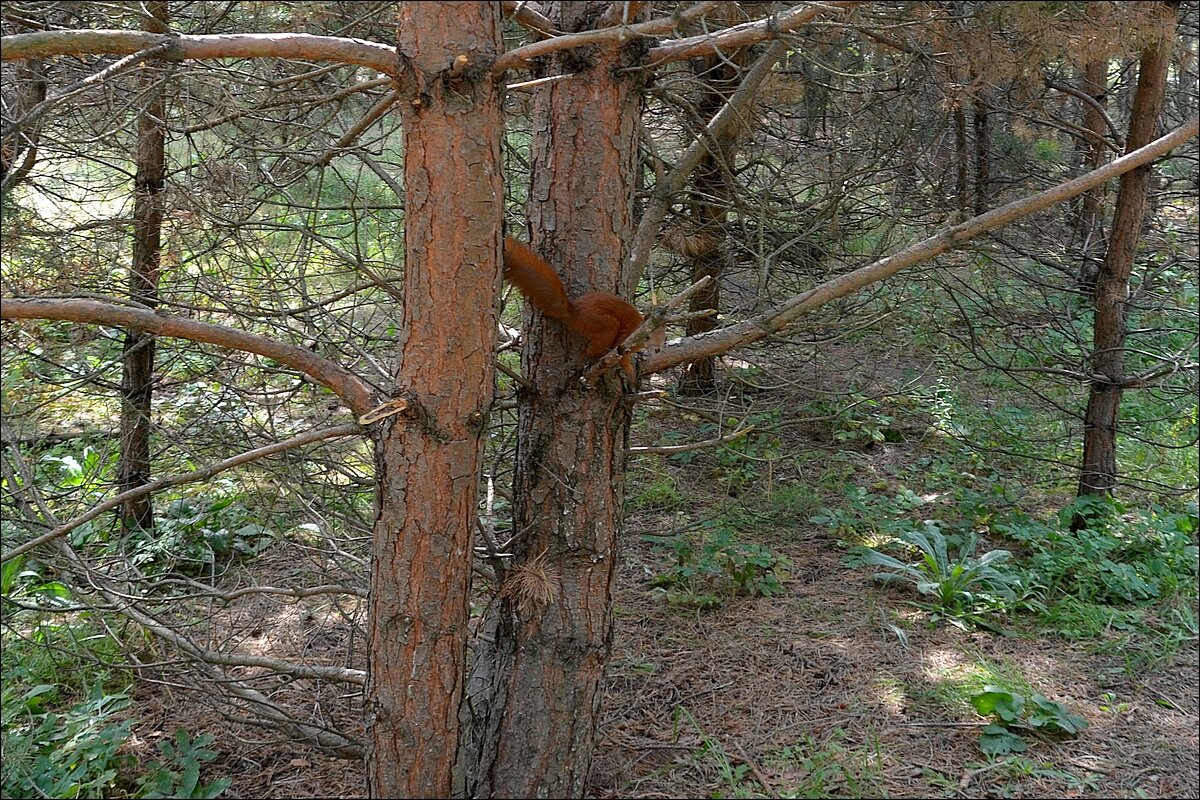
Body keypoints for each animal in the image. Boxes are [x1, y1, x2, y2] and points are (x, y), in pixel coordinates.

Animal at [501, 236, 648, 381]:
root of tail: (574, 313)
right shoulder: (629, 332)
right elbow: (621, 351)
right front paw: (630, 372)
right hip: (601, 323)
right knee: (595, 345)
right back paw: (596, 356)